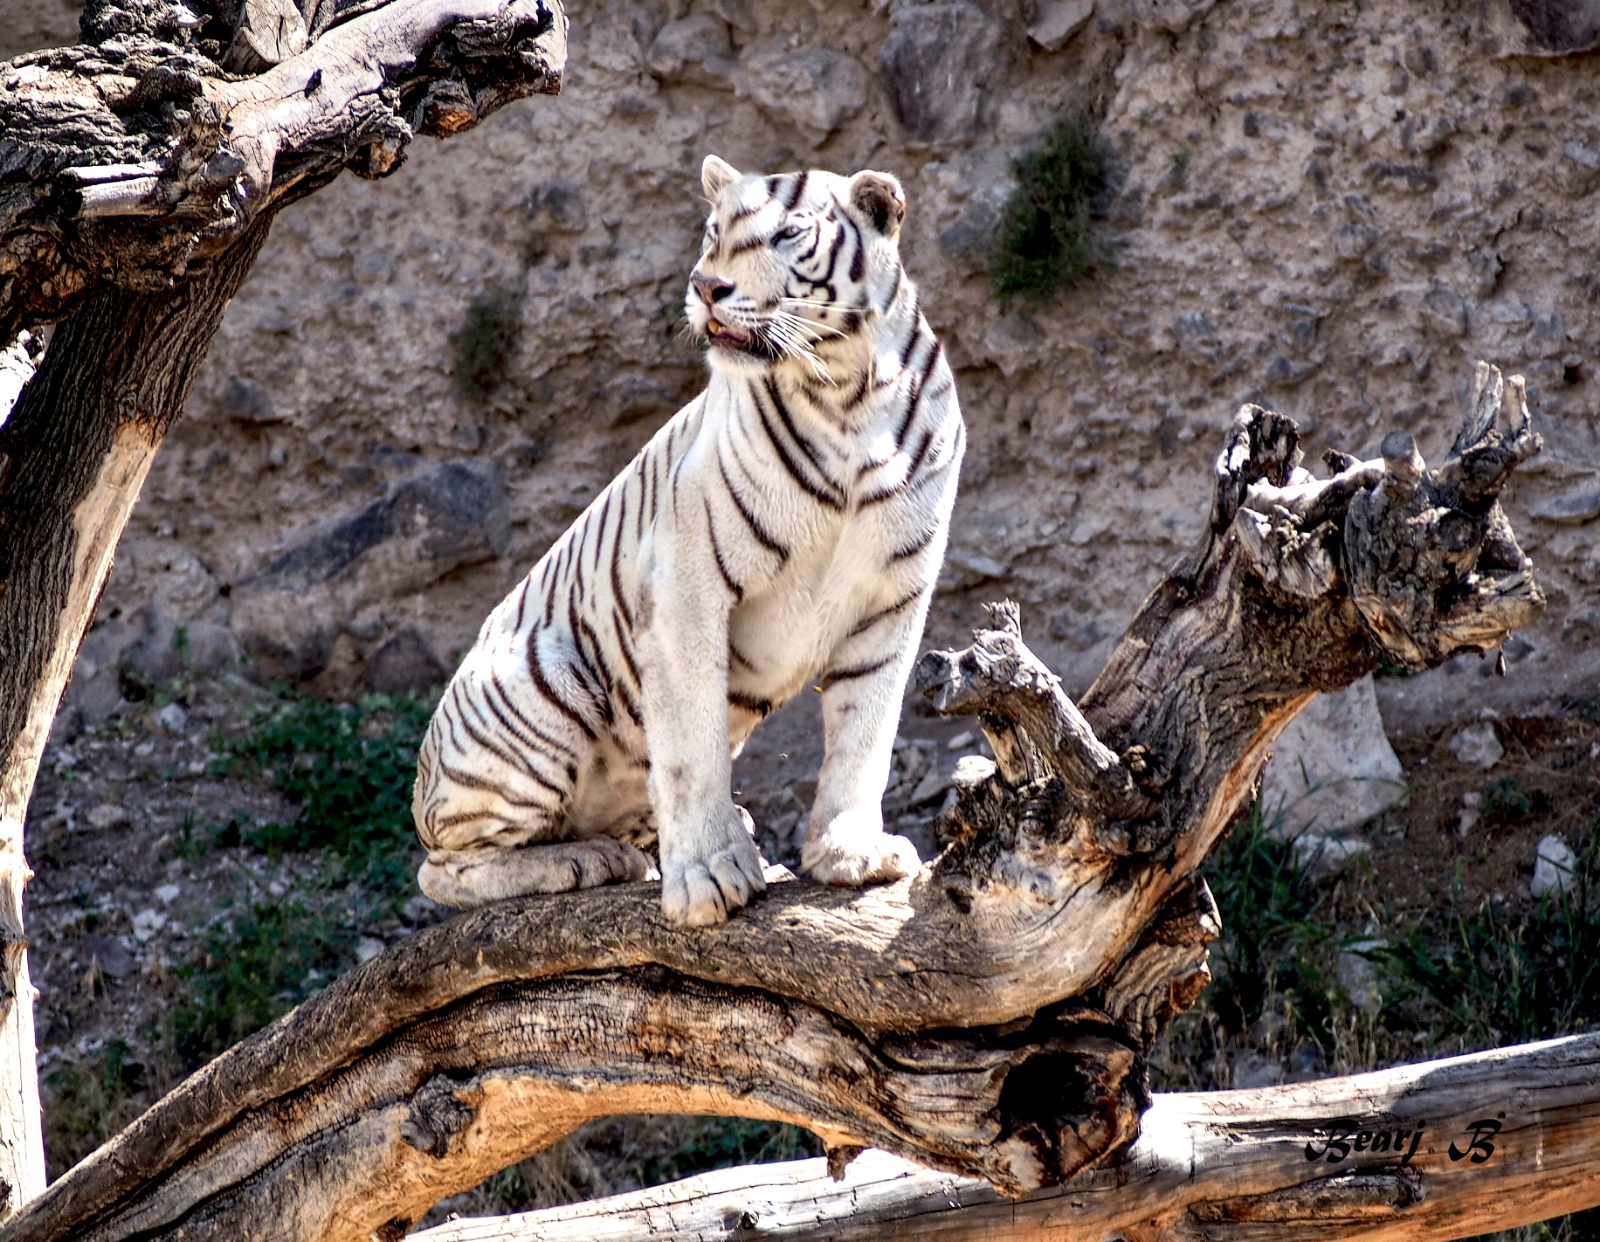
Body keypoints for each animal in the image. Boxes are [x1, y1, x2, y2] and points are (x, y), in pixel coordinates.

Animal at [412, 154, 965, 927]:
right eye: (712, 231)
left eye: (787, 234)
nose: (706, 285)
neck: (845, 395)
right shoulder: (686, 589)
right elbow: (690, 749)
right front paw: (707, 878)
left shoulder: (894, 596)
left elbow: (866, 734)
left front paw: (849, 854)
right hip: (541, 682)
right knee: (443, 869)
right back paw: (589, 859)